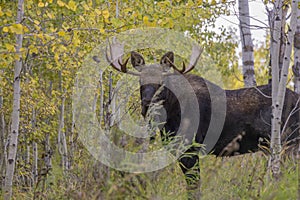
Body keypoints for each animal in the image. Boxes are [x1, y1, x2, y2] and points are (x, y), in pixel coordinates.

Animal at [105, 38, 300, 197]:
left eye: (162, 82)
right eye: (140, 81)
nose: (147, 103)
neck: (170, 118)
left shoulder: (190, 147)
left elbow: (194, 186)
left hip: (289, 142)